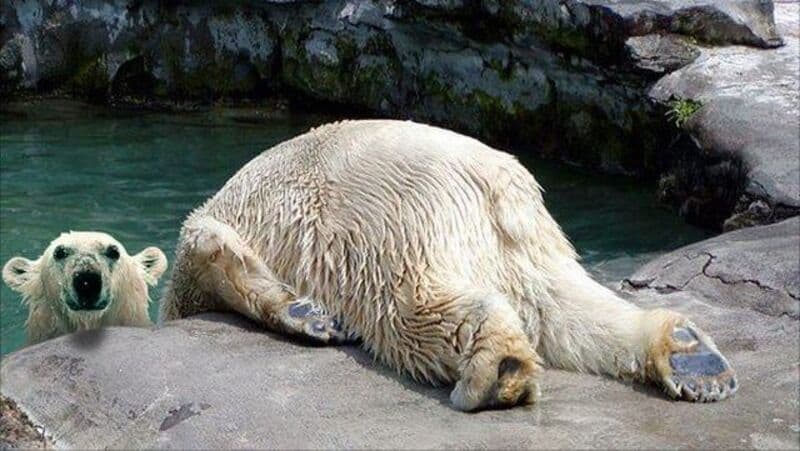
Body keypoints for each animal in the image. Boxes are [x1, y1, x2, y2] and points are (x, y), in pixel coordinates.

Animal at [160, 120, 737, 410]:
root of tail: (494, 181)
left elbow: (203, 252)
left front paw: (305, 314)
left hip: (380, 218)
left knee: (404, 303)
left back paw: (497, 369)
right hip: (528, 241)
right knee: (562, 306)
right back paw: (692, 357)